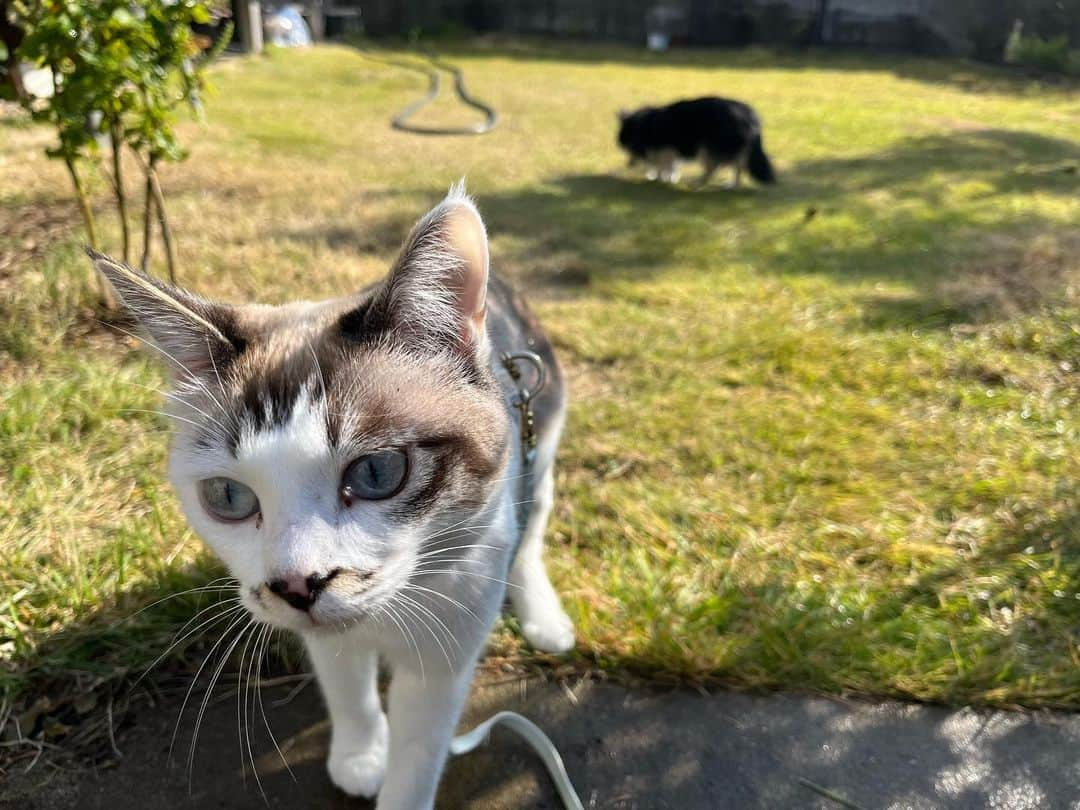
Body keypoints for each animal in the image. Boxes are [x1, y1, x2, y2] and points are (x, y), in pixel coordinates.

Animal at [92, 185, 574, 810]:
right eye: (228, 495)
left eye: (376, 472)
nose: (298, 585)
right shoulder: (329, 637)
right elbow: (345, 682)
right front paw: (360, 756)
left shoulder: (450, 639)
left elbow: (419, 751)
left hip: (543, 434)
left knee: (533, 524)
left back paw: (544, 616)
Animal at [617, 96, 777, 186]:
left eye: (629, 146)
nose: (628, 164)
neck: (645, 125)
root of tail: (749, 116)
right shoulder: (669, 150)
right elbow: (668, 164)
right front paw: (666, 177)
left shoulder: (666, 148)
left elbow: (664, 164)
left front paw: (662, 178)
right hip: (733, 149)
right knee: (738, 166)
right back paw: (732, 184)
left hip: (707, 148)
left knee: (713, 168)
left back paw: (700, 182)